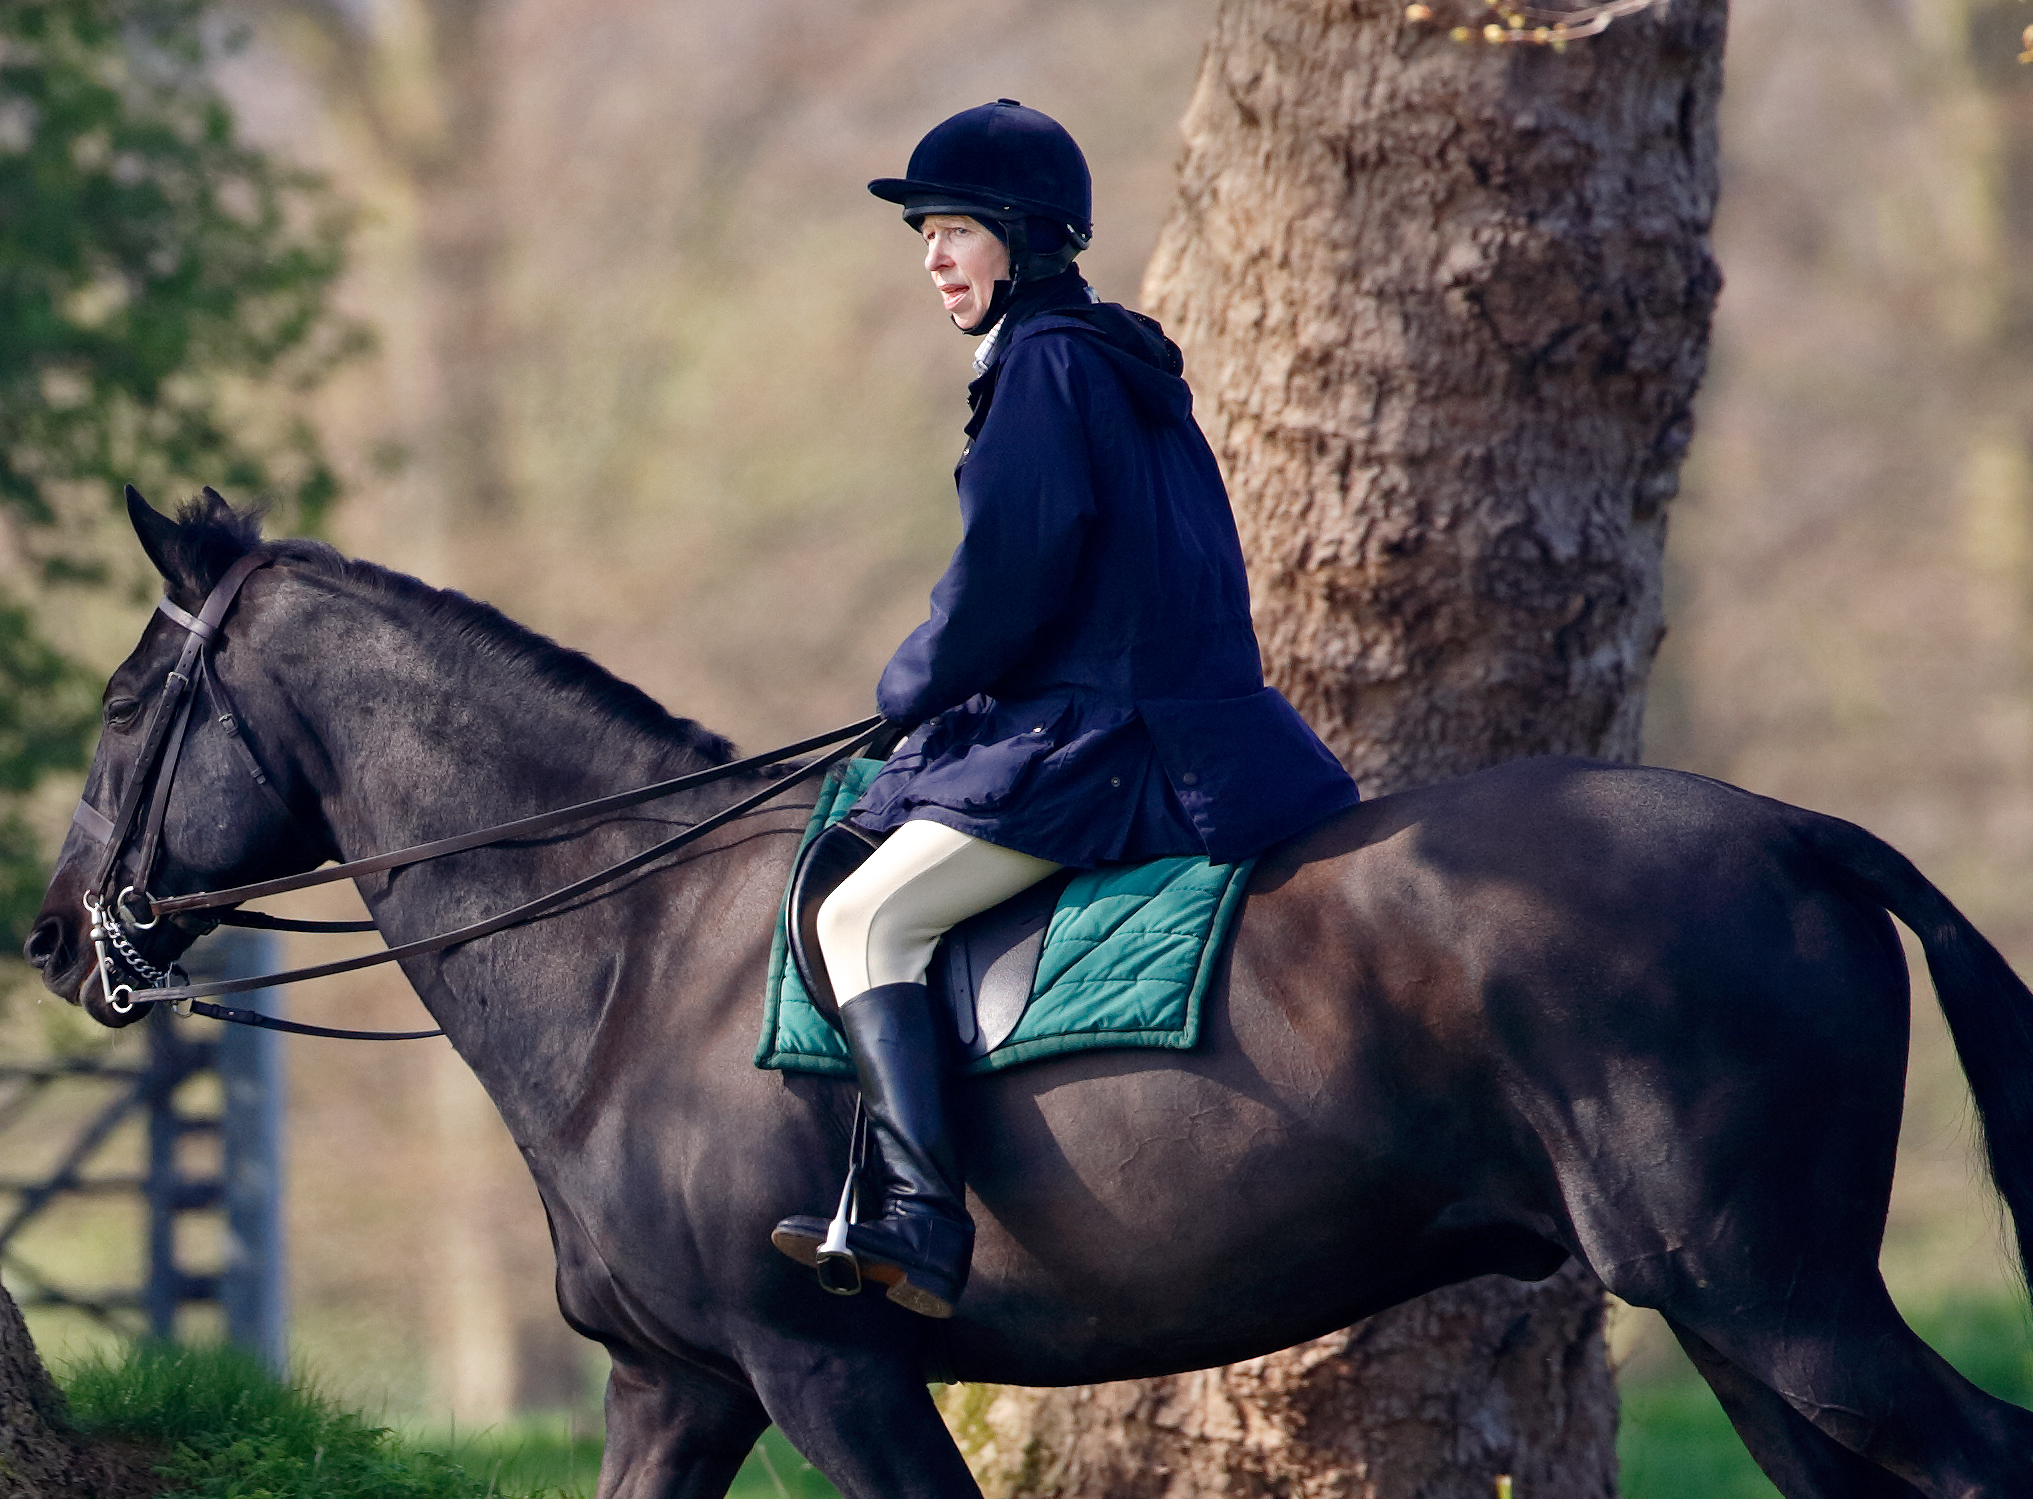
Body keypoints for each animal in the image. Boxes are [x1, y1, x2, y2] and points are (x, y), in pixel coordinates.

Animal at [23, 494, 2033, 1496]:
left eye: (123, 704)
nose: (51, 938)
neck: (626, 955)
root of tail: (1794, 832)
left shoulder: (827, 1368)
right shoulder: (681, 1387)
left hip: (1773, 1297)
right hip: (1732, 1314)